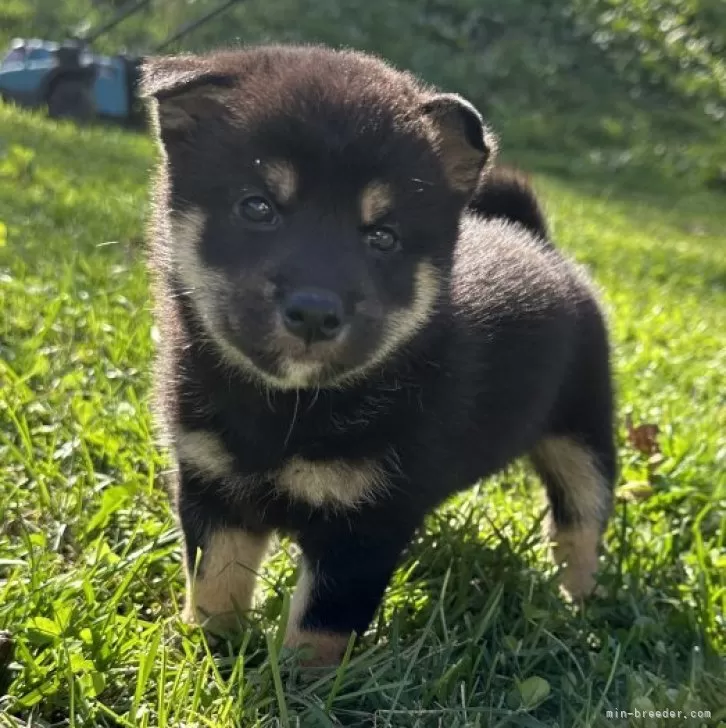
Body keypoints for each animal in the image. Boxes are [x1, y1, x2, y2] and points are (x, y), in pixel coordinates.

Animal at [144, 45, 620, 668]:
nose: (315, 312)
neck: (287, 410)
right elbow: (215, 584)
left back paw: (577, 605)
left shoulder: (364, 524)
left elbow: (320, 628)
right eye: (257, 207)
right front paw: (212, 653)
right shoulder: (213, 485)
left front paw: (295, 685)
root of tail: (543, 246)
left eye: (383, 237)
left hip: (582, 433)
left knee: (581, 521)